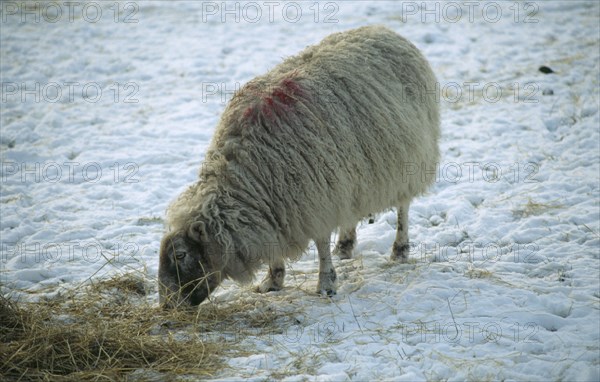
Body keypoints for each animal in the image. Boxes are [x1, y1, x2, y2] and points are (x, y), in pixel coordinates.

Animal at [159, 25, 440, 308]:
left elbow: (321, 244)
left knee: (403, 207)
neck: (250, 180)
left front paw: (326, 284)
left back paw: (400, 250)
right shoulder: (279, 206)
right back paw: (345, 245)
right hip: (350, 174)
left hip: (408, 160)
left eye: (180, 255)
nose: (167, 305)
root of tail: (383, 29)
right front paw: (273, 281)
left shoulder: (315, 197)